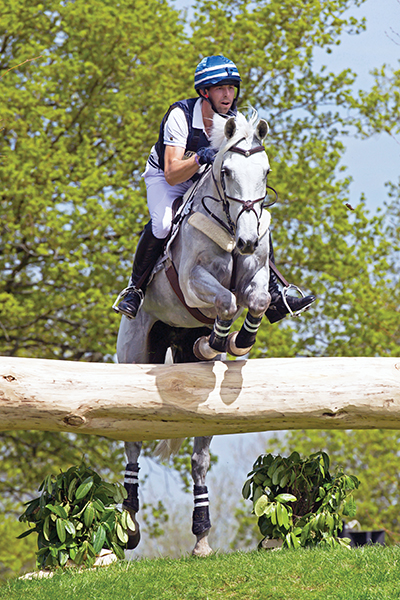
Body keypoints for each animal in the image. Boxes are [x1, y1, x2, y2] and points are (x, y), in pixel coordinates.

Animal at [115, 109, 272, 556]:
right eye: (228, 171)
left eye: (265, 172)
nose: (247, 240)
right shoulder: (191, 281)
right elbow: (227, 302)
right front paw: (218, 338)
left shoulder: (255, 276)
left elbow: (254, 300)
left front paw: (235, 341)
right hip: (135, 355)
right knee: (132, 443)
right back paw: (130, 527)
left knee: (200, 457)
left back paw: (201, 537)